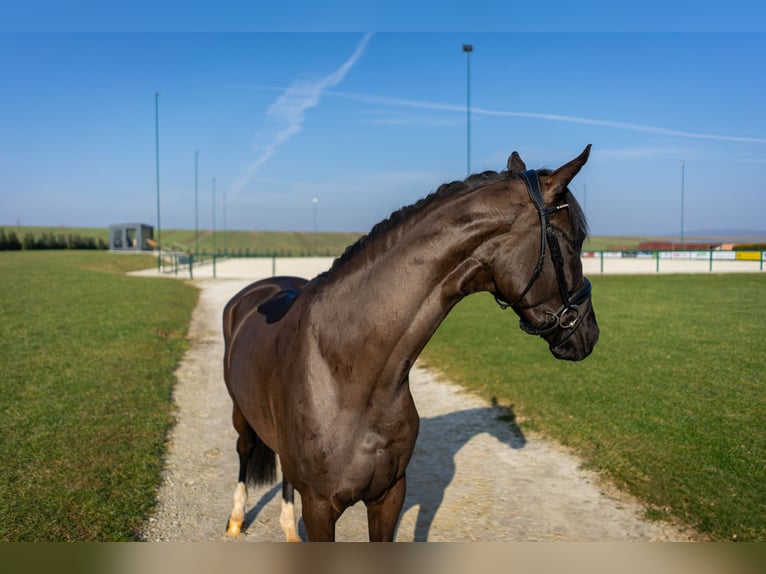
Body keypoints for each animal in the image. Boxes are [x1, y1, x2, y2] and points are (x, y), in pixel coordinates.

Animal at [222, 146, 600, 544]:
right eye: (574, 241)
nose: (589, 333)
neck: (347, 372)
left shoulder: (389, 495)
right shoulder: (319, 508)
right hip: (240, 414)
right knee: (245, 450)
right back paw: (236, 520)